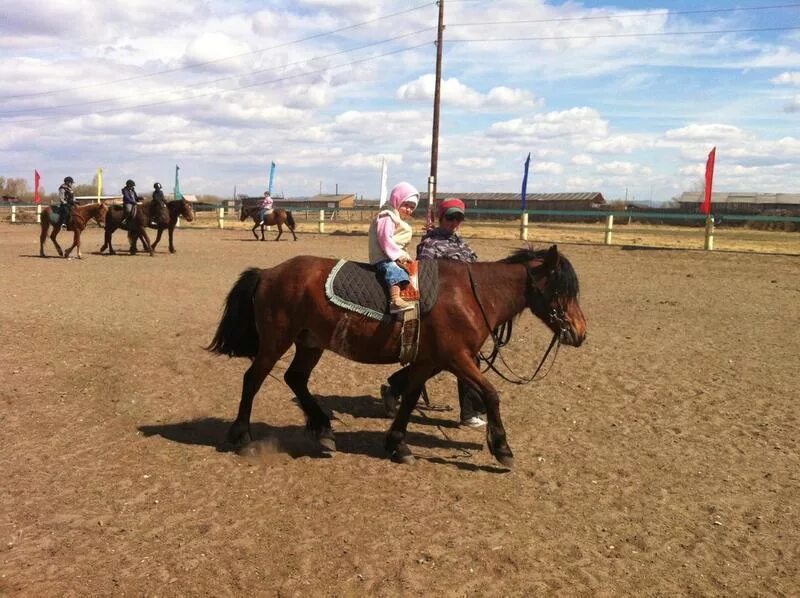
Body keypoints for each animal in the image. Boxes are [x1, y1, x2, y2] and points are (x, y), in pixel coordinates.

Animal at [208, 245, 588, 468]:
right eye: (561, 289)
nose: (580, 332)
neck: (470, 295)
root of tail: (269, 273)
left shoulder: (429, 361)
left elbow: (410, 397)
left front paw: (397, 444)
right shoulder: (457, 358)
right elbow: (491, 394)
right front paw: (502, 448)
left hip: (310, 342)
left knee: (295, 379)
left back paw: (323, 429)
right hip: (277, 340)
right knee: (253, 380)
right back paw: (243, 437)